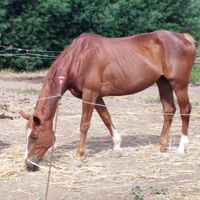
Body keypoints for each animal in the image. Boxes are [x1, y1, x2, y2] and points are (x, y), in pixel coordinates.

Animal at [19, 30, 195, 171]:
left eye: (34, 136)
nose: (28, 164)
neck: (78, 58)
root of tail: (183, 37)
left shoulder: (89, 94)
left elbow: (84, 125)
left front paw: (78, 157)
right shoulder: (97, 96)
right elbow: (106, 118)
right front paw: (117, 148)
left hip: (179, 84)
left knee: (185, 111)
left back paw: (181, 150)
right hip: (163, 82)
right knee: (169, 111)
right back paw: (160, 145)